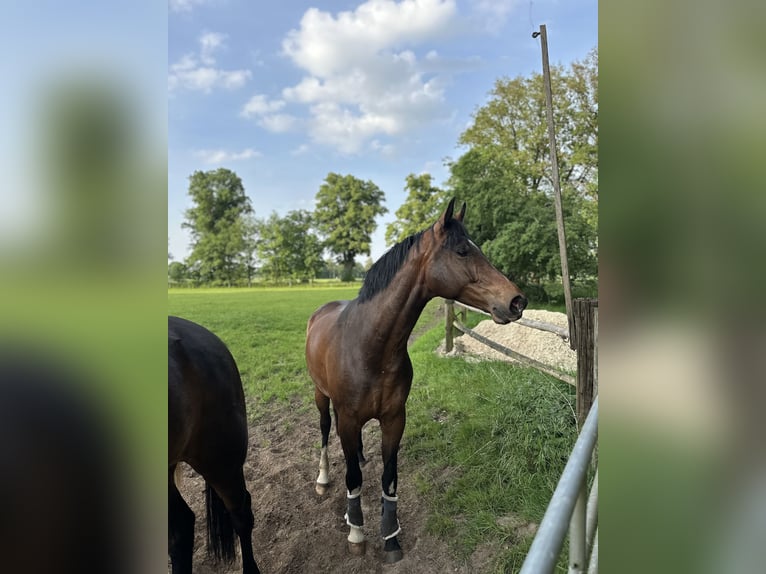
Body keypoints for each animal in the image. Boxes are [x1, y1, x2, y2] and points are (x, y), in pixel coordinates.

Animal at [306, 199, 528, 564]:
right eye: (462, 251)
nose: (516, 301)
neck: (369, 347)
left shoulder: (395, 418)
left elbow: (389, 478)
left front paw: (391, 539)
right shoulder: (349, 419)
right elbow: (353, 478)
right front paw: (356, 532)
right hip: (320, 396)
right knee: (325, 431)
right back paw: (323, 480)